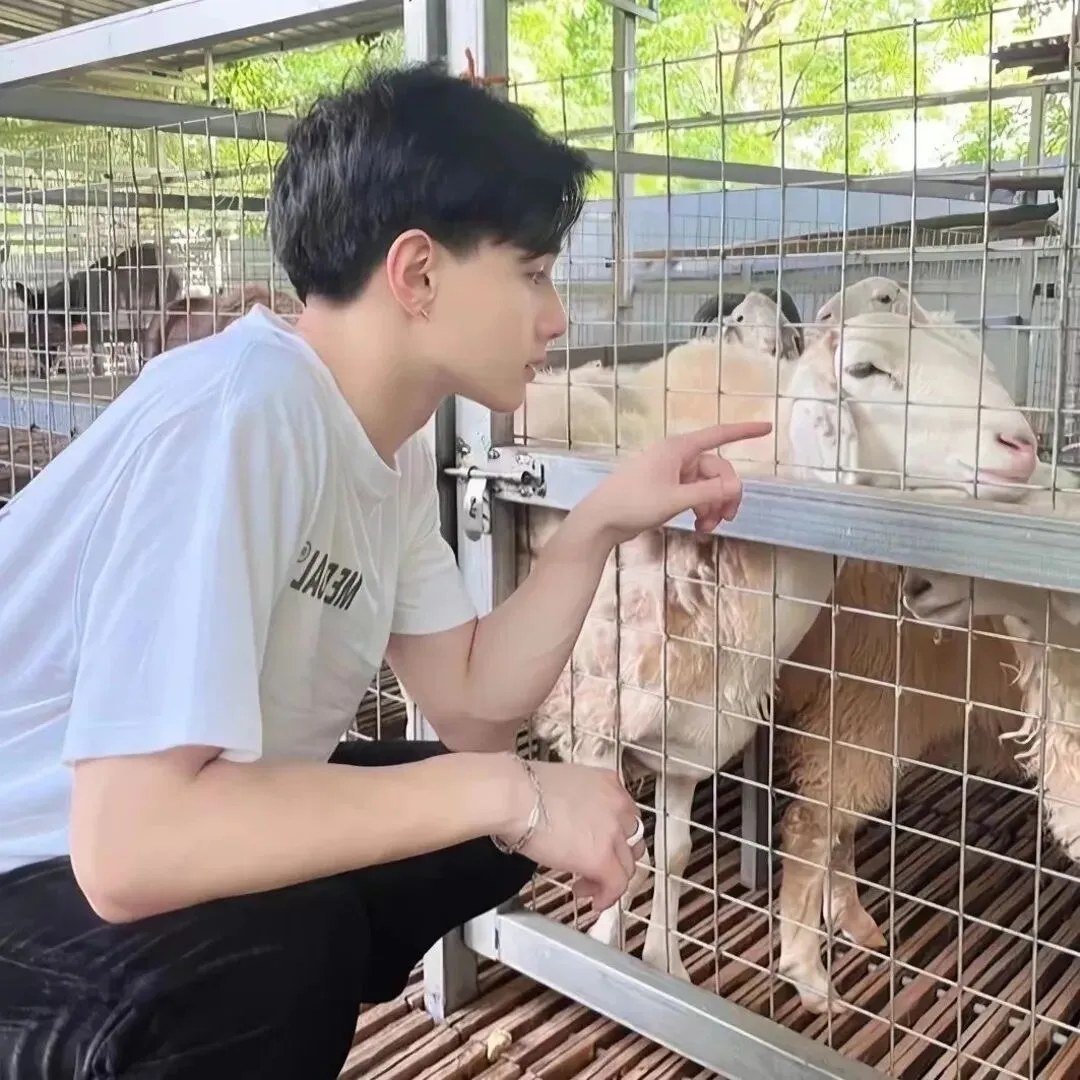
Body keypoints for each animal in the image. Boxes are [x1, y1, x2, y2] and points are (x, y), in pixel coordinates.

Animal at [517, 311, 1039, 983]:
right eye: (866, 368)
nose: (1022, 446)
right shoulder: (594, 721)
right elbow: (620, 852)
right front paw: (604, 956)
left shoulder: (688, 734)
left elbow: (674, 853)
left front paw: (665, 965)